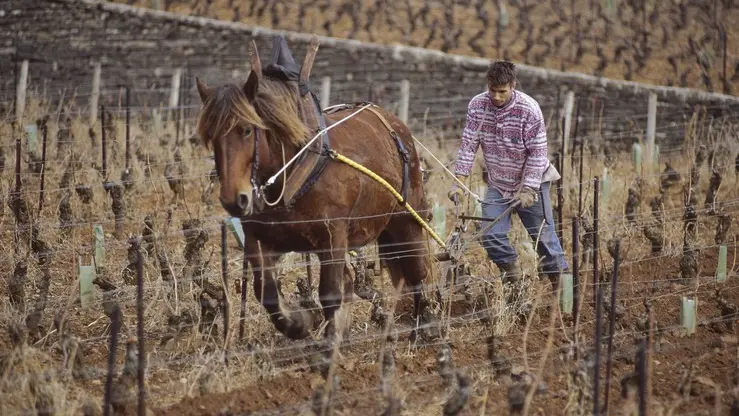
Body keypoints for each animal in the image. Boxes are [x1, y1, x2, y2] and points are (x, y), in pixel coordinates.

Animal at [194, 37, 442, 344]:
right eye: (210, 137)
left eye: (247, 130)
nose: (234, 199)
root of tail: (391, 121)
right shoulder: (258, 239)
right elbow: (266, 292)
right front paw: (301, 322)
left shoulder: (333, 235)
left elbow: (331, 292)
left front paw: (330, 339)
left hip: (406, 218)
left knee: (416, 268)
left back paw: (426, 322)